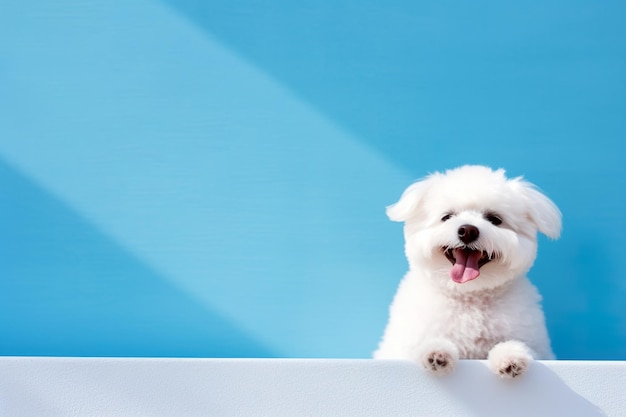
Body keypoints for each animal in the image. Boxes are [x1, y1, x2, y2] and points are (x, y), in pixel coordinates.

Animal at [372, 166, 560, 376]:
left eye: (494, 219)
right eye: (447, 217)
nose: (468, 230)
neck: (469, 295)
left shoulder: (537, 346)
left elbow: (521, 347)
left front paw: (510, 356)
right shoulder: (404, 345)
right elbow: (422, 346)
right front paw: (436, 352)